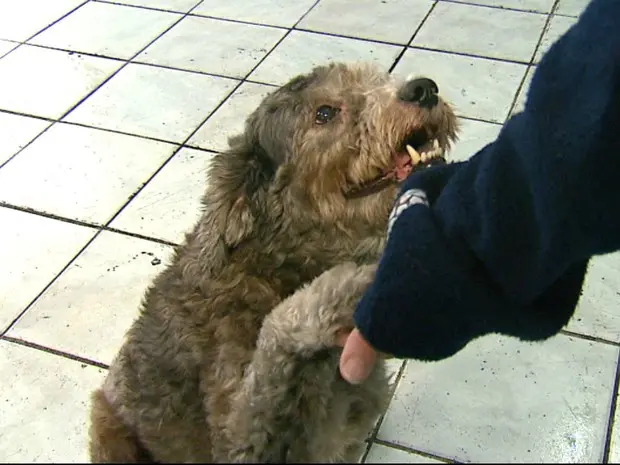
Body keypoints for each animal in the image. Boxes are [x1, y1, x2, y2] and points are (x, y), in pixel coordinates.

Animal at [87, 60, 458, 460]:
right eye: (324, 113)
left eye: (373, 78)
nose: (423, 89)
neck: (280, 263)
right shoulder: (238, 442)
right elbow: (275, 336)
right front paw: (340, 290)